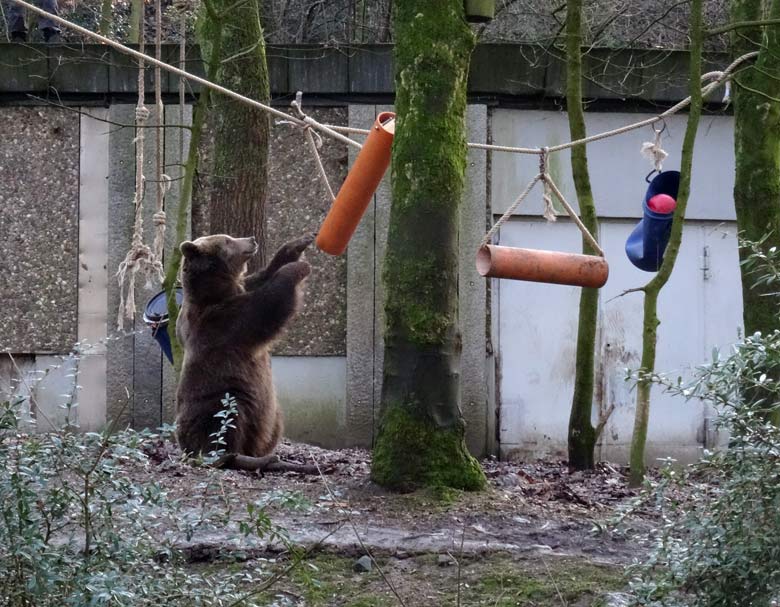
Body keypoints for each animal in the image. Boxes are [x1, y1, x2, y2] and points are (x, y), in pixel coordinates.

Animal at [174, 232, 314, 456]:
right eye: (227, 240)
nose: (251, 239)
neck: (217, 291)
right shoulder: (225, 321)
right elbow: (269, 303)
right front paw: (298, 268)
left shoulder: (240, 290)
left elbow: (261, 277)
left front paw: (296, 246)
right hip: (222, 396)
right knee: (225, 419)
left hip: (271, 412)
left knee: (274, 421)